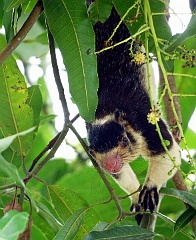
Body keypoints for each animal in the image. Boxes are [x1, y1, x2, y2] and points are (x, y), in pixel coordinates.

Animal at [86, 5, 181, 223]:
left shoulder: (146, 120)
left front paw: (150, 189)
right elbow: (122, 176)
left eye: (124, 141)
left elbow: (169, 151)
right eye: (93, 152)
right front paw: (137, 197)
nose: (110, 165)